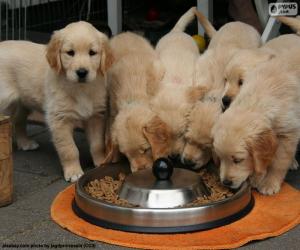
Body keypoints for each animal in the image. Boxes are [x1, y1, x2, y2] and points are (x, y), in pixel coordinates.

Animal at [44, 21, 113, 182]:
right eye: (70, 52)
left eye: (92, 53)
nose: (82, 72)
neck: (80, 89)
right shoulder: (59, 120)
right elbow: (69, 149)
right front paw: (74, 172)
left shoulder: (95, 117)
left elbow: (97, 144)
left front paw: (101, 162)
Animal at [105, 31, 165, 172]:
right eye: (126, 154)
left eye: (146, 149)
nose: (141, 169)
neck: (132, 97)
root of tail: (124, 33)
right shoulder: (112, 108)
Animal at [212, 58, 300, 195]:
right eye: (220, 158)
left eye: (238, 160)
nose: (226, 182)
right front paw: (257, 177)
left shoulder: (288, 133)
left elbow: (278, 163)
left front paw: (269, 182)